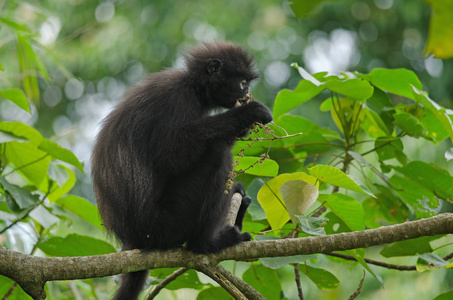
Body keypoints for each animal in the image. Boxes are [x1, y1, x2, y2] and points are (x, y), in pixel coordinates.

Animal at [90, 41, 270, 298]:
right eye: (242, 81)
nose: (245, 93)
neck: (193, 87)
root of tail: (135, 240)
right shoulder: (177, 99)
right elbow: (171, 156)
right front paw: (246, 114)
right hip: (168, 221)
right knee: (217, 152)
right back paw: (207, 243)